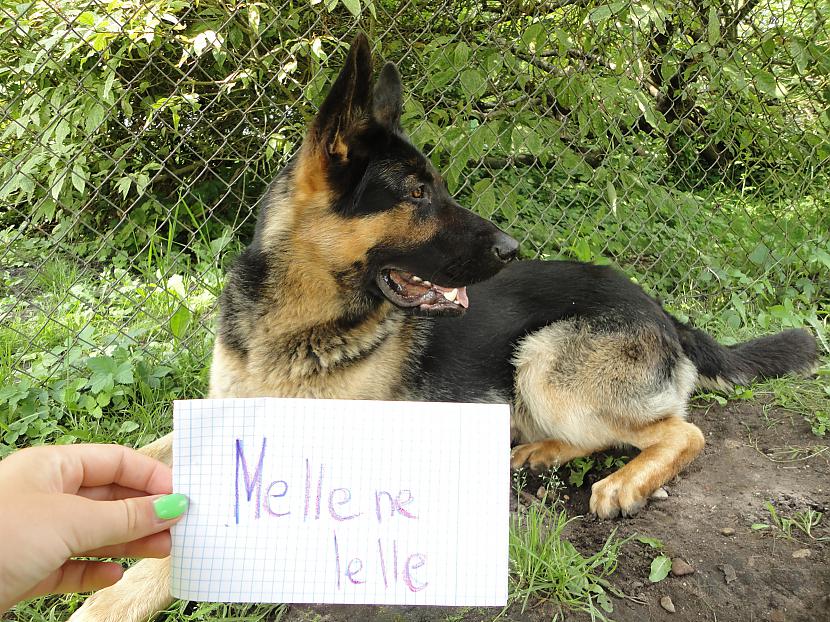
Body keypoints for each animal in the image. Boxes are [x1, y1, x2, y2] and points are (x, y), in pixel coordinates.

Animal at [75, 33, 824, 622]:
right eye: (415, 193)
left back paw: (623, 483)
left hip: (545, 361)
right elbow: (139, 451)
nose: (513, 248)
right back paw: (539, 453)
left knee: (681, 431)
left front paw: (111, 598)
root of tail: (662, 311)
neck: (296, 321)